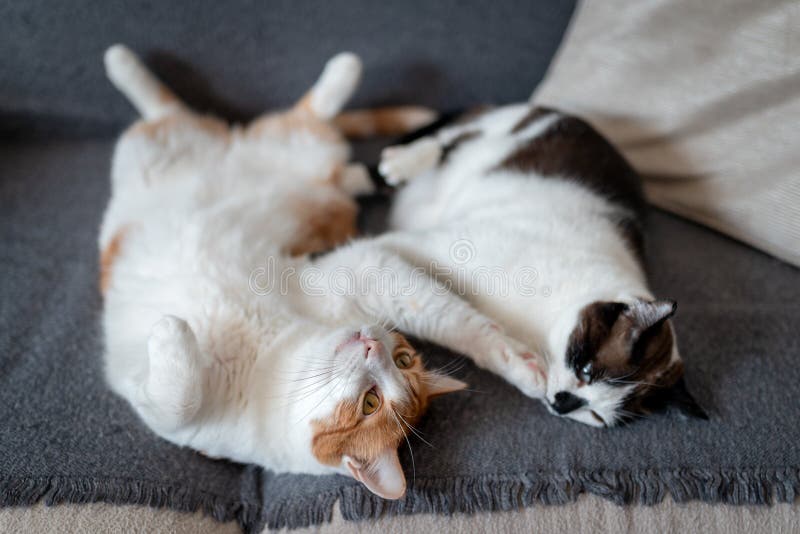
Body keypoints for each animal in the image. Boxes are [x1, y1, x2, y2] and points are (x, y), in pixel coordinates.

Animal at [378, 107, 704, 430]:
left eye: (597, 415)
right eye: (587, 370)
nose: (563, 403)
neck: (541, 327)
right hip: (502, 129)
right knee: (452, 135)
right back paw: (402, 162)